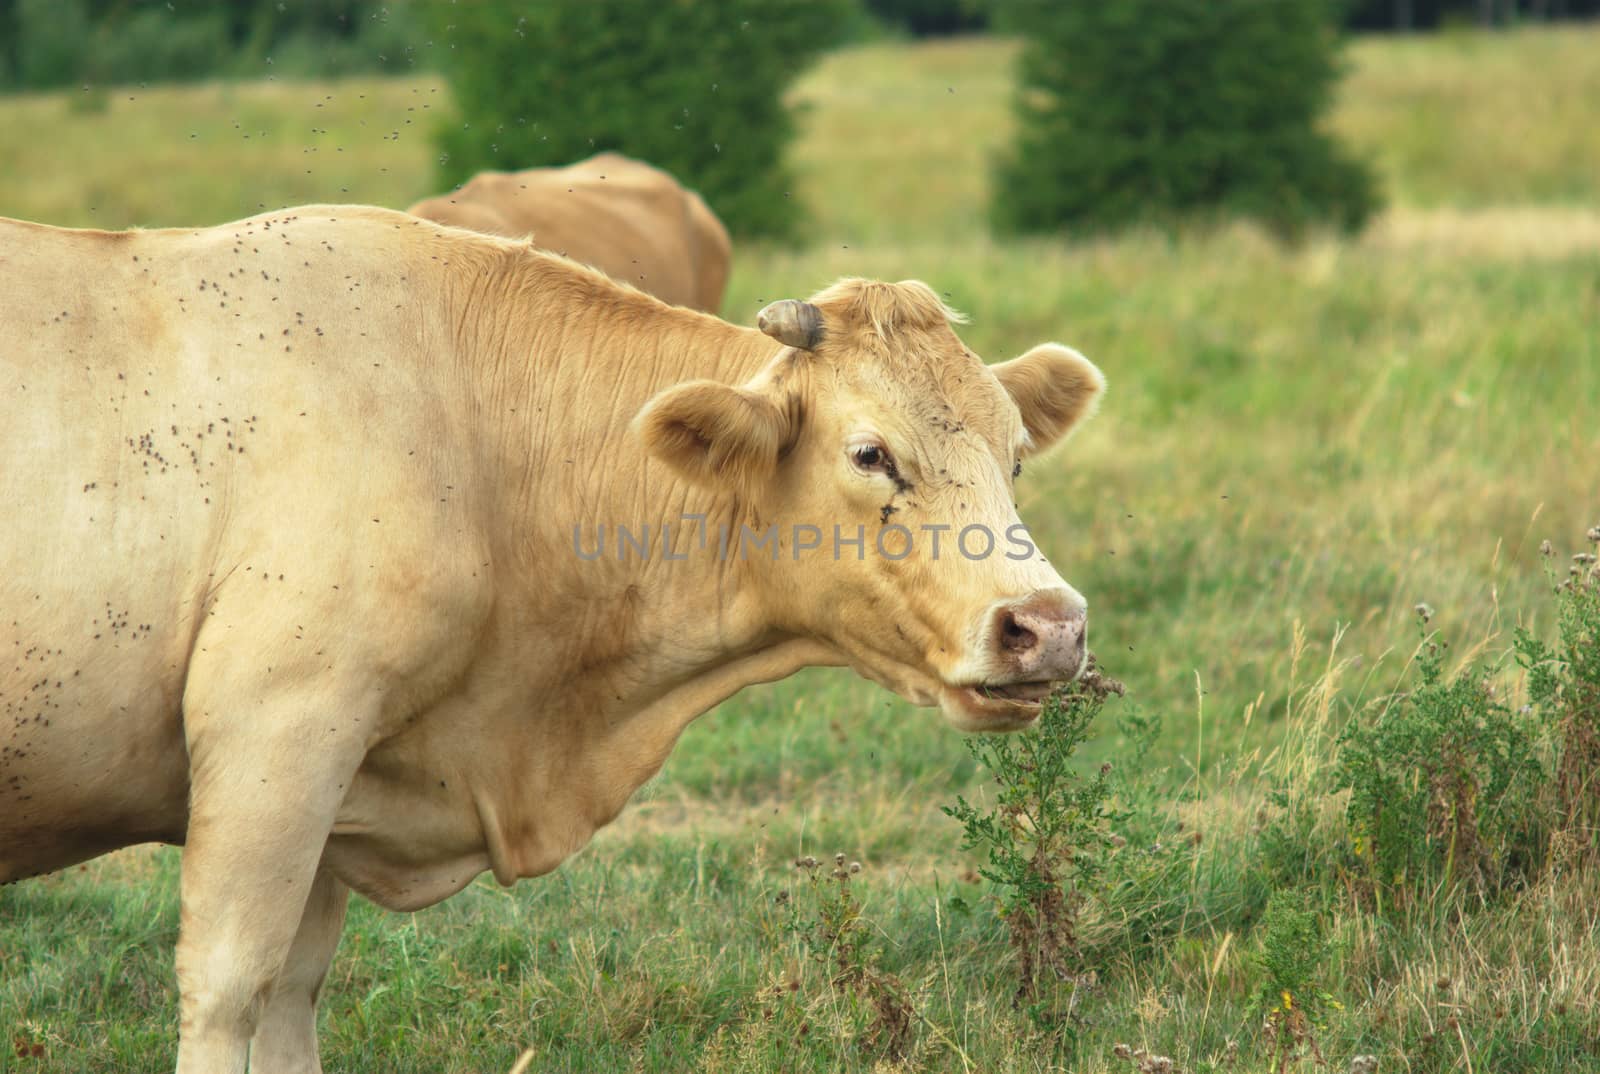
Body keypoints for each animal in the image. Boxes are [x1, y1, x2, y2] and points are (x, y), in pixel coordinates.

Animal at [0, 206, 1100, 1069]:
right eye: (871, 454)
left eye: (1013, 454)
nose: (1047, 626)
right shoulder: (275, 738)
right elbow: (231, 986)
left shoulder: (329, 794)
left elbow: (292, 996)